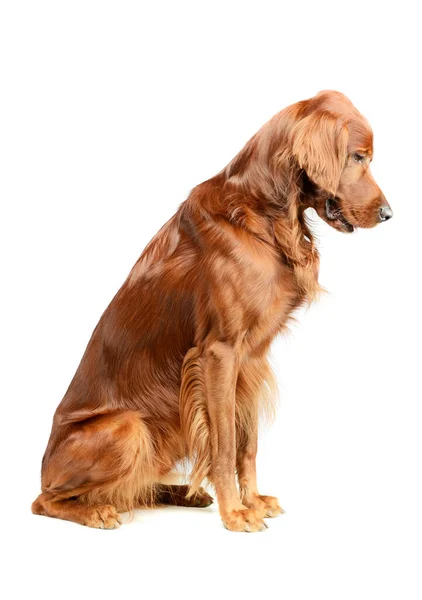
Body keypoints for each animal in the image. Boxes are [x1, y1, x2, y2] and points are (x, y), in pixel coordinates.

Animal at [32, 89, 392, 528]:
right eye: (358, 156)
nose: (389, 214)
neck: (262, 216)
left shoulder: (251, 359)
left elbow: (247, 443)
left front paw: (253, 500)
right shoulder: (218, 353)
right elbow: (223, 444)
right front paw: (235, 513)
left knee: (134, 488)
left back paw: (179, 493)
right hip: (131, 429)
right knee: (46, 500)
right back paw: (96, 511)